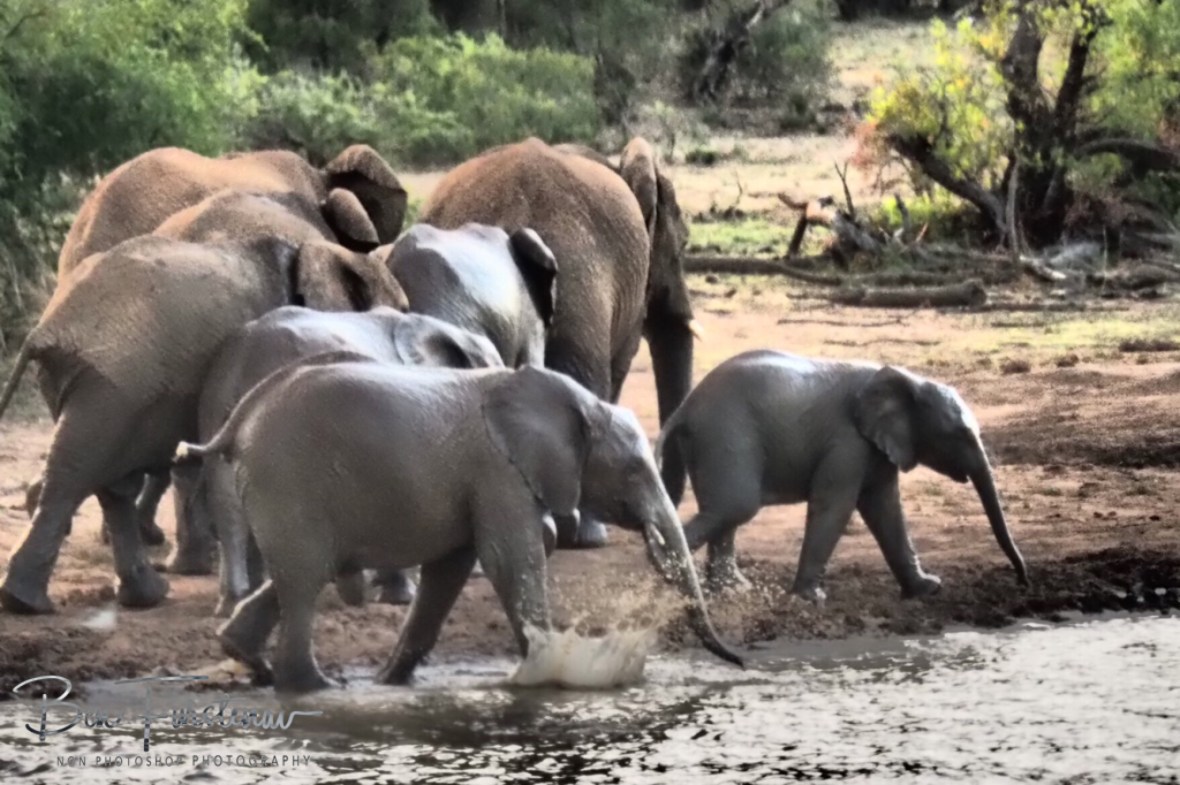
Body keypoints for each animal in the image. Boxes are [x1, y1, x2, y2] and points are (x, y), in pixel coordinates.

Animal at [0, 232, 408, 615]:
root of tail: (44, 330)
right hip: (115, 386)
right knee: (78, 476)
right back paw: (32, 602)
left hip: (101, 387)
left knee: (109, 485)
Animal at [177, 359, 742, 692]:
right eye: (634, 471)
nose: (737, 662)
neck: (580, 403)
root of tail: (237, 421)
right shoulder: (499, 471)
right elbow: (510, 560)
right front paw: (542, 678)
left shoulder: (481, 481)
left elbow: (449, 571)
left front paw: (392, 681)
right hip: (289, 479)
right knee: (303, 582)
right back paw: (313, 688)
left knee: (297, 574)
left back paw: (251, 662)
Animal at [657, 350, 1029, 600]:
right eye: (959, 435)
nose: (1022, 581)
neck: (910, 380)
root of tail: (685, 407)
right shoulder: (847, 440)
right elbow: (835, 505)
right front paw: (810, 600)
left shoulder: (877, 447)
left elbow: (885, 509)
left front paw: (928, 589)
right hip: (725, 435)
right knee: (735, 507)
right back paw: (667, 580)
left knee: (726, 513)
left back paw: (733, 592)